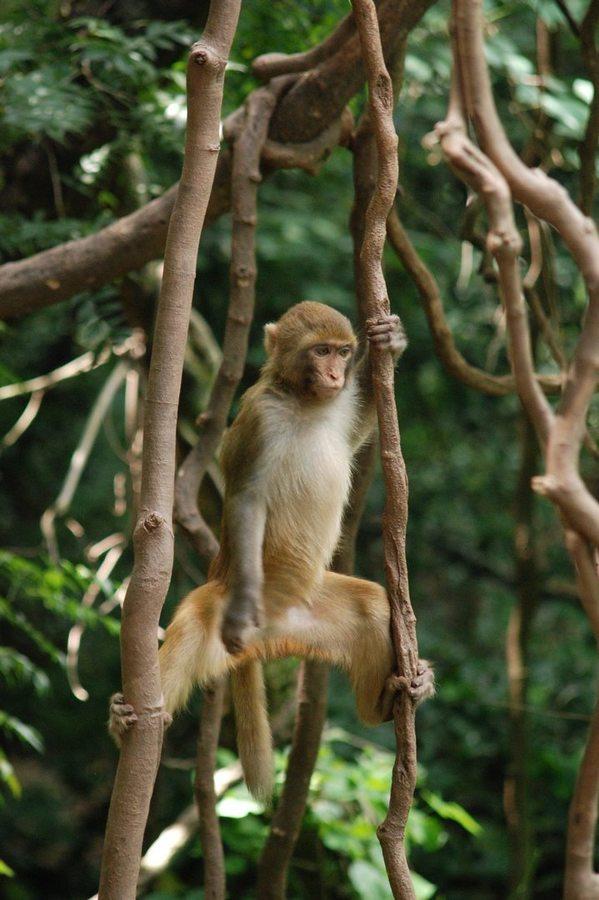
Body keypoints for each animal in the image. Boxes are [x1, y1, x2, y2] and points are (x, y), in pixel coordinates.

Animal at [110, 302, 434, 800]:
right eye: (320, 351)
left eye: (342, 351)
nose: (335, 374)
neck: (302, 401)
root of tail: (266, 636)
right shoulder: (259, 420)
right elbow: (246, 498)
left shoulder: (337, 409)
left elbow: (356, 426)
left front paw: (391, 340)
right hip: (224, 598)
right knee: (192, 626)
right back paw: (126, 720)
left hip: (309, 614)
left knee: (373, 607)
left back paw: (385, 703)